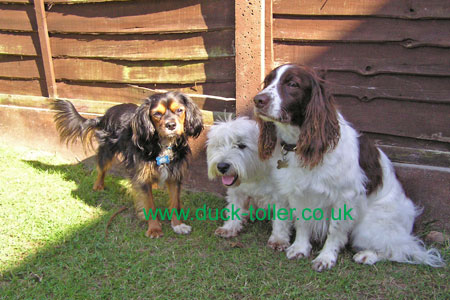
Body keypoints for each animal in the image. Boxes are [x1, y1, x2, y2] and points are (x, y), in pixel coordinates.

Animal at [207, 117, 292, 251]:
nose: (222, 166)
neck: (255, 174)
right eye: (219, 144)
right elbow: (234, 208)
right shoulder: (236, 192)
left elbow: (281, 219)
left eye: (241, 145)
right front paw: (229, 227)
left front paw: (279, 239)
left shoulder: (281, 196)